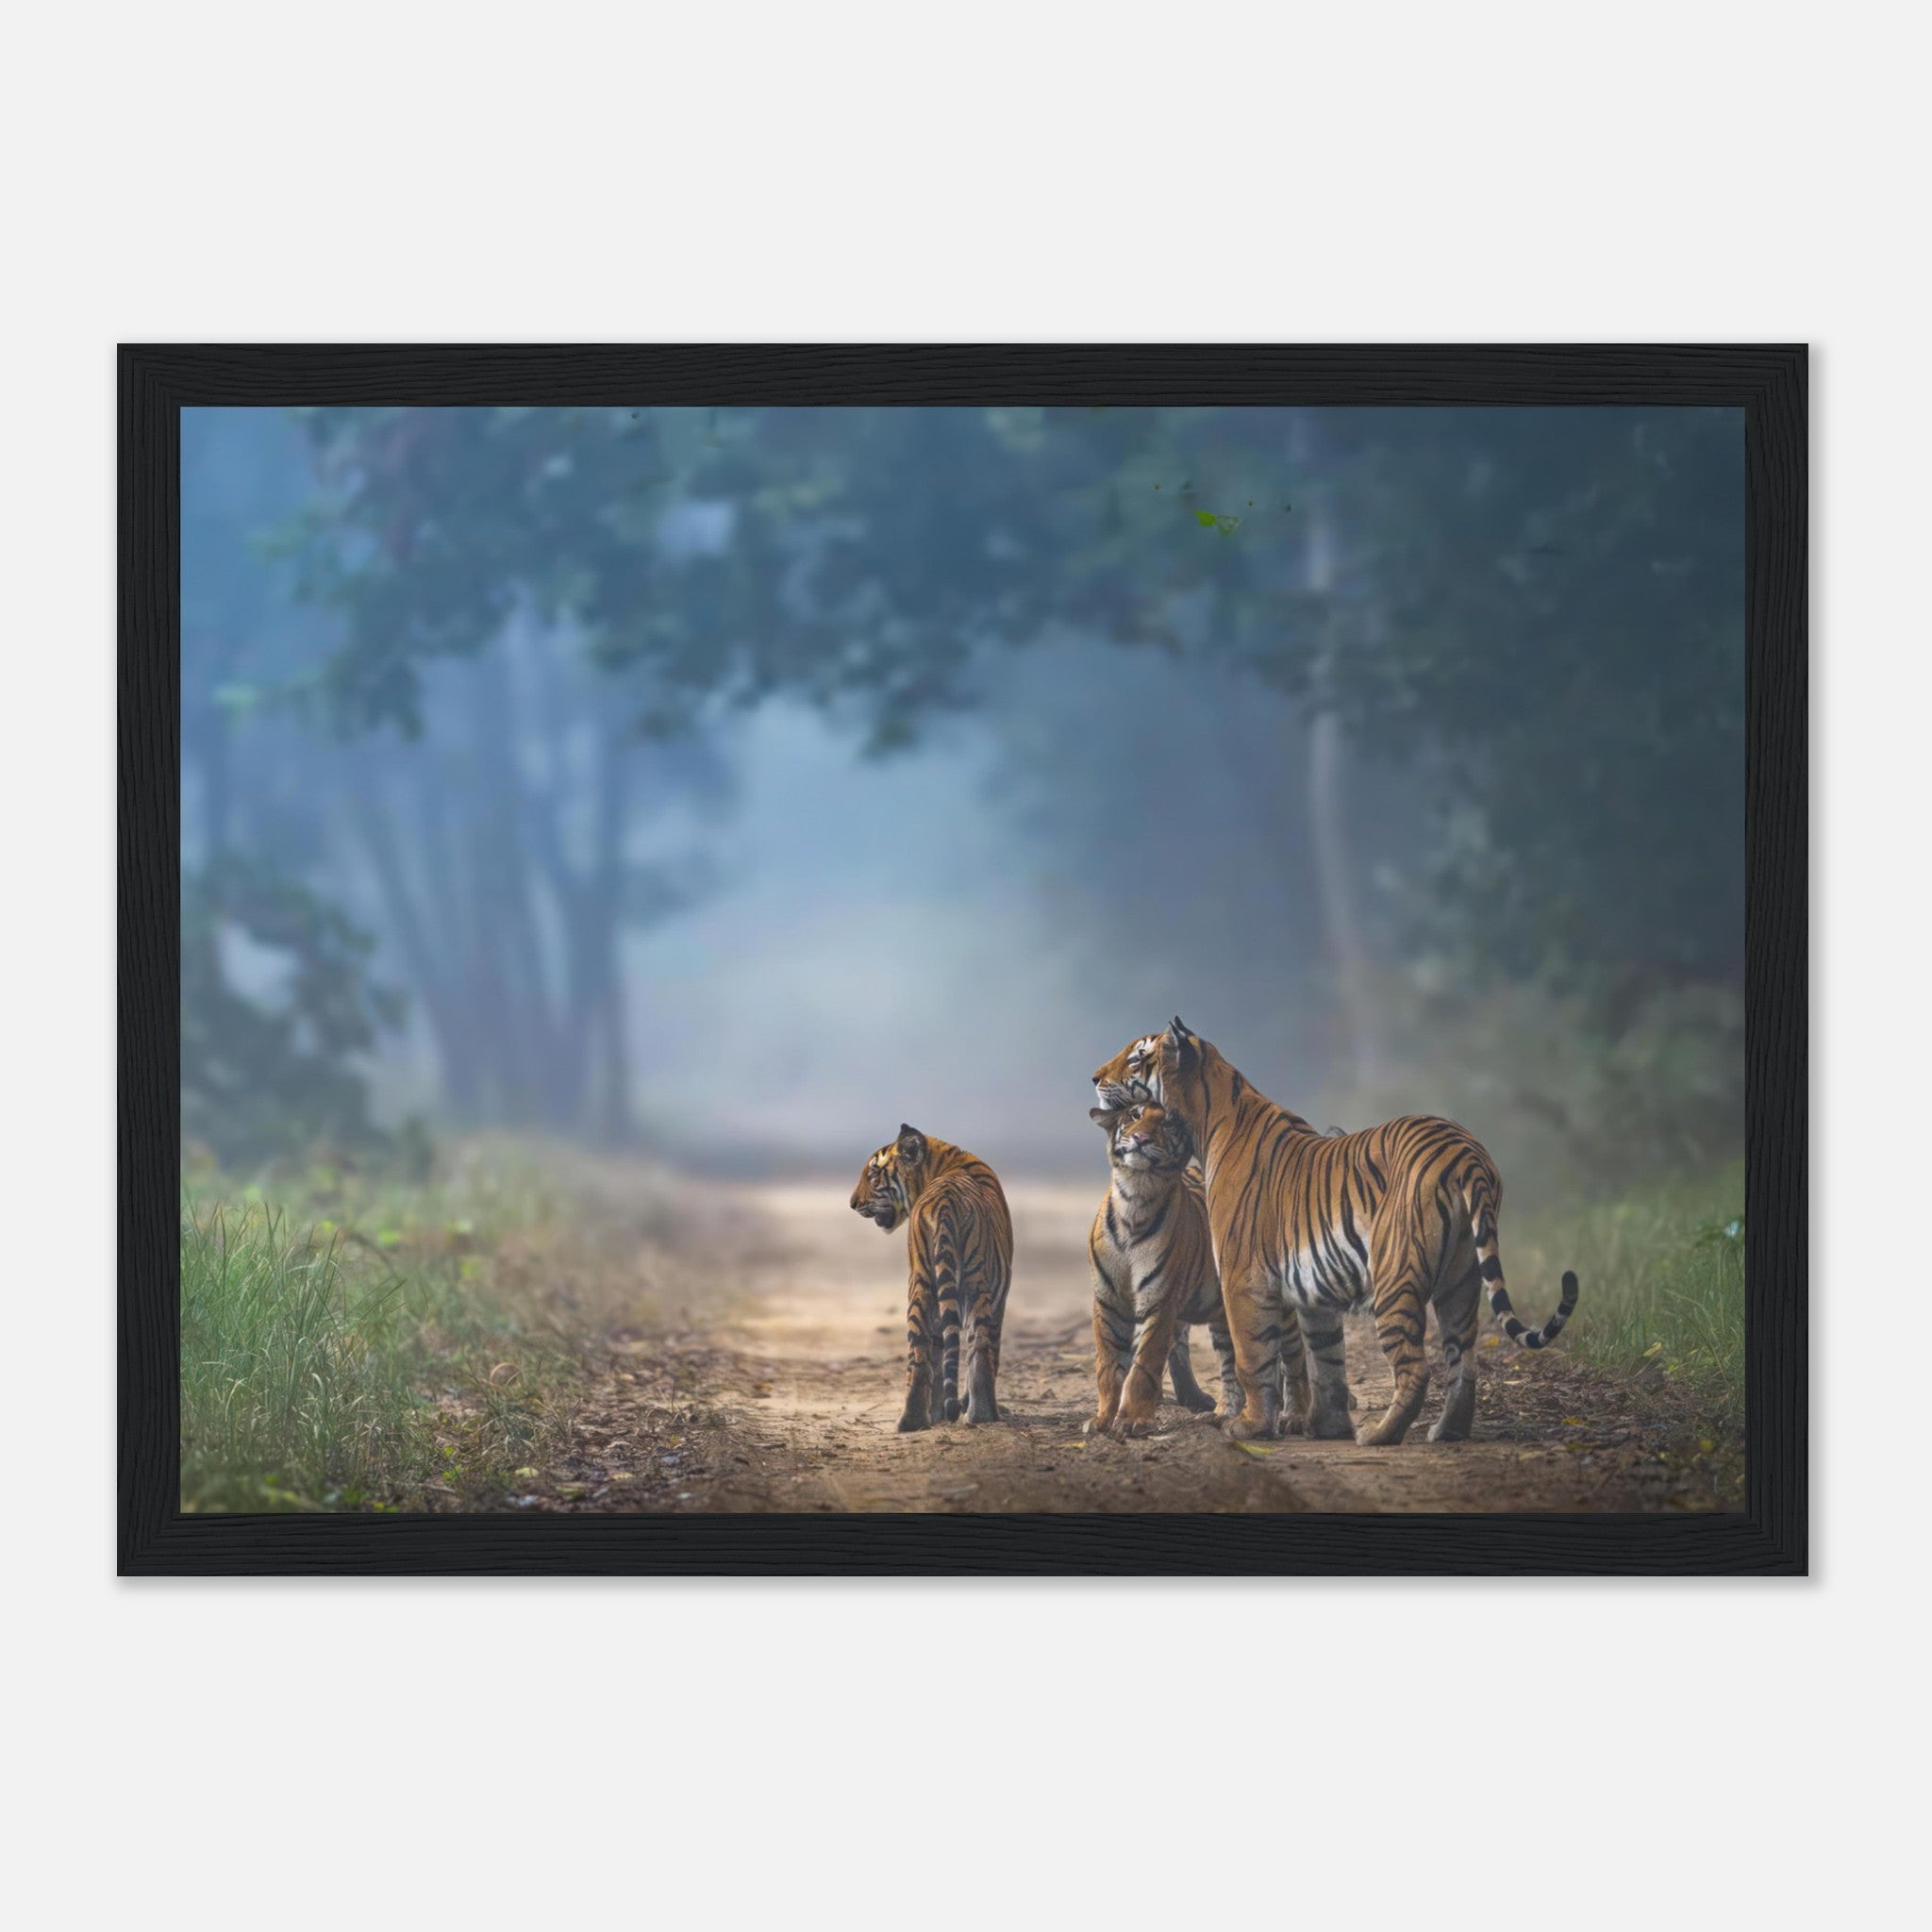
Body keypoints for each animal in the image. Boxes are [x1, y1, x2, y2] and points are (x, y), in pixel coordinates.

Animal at [850, 1124, 1013, 1432]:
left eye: (873, 1175)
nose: (853, 1204)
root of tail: (945, 1202)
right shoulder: (1000, 1296)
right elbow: (990, 1352)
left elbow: (940, 1352)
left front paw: (939, 1412)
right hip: (972, 1281)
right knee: (977, 1347)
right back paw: (982, 1414)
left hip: (923, 1282)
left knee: (921, 1352)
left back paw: (912, 1421)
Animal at [1086, 1101, 1310, 1437]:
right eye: (1134, 1116)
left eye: (1167, 1124)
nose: (1141, 1138)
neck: (1135, 1199)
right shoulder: (1107, 1302)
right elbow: (1109, 1367)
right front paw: (1102, 1419)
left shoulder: (1160, 1303)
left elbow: (1143, 1365)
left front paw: (1132, 1420)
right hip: (1223, 1315)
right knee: (1230, 1364)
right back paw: (1222, 1414)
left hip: (1279, 1307)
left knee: (1294, 1357)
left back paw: (1294, 1416)